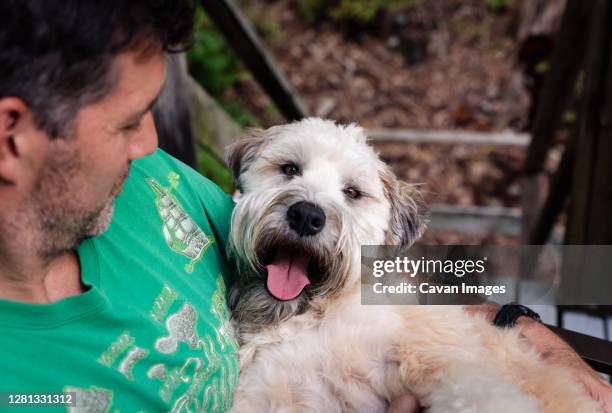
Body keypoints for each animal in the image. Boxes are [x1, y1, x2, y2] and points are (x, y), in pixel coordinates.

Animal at [226, 118, 604, 412]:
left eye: (352, 192)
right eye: (290, 169)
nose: (306, 216)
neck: (310, 315)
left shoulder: (438, 353)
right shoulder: (266, 389)